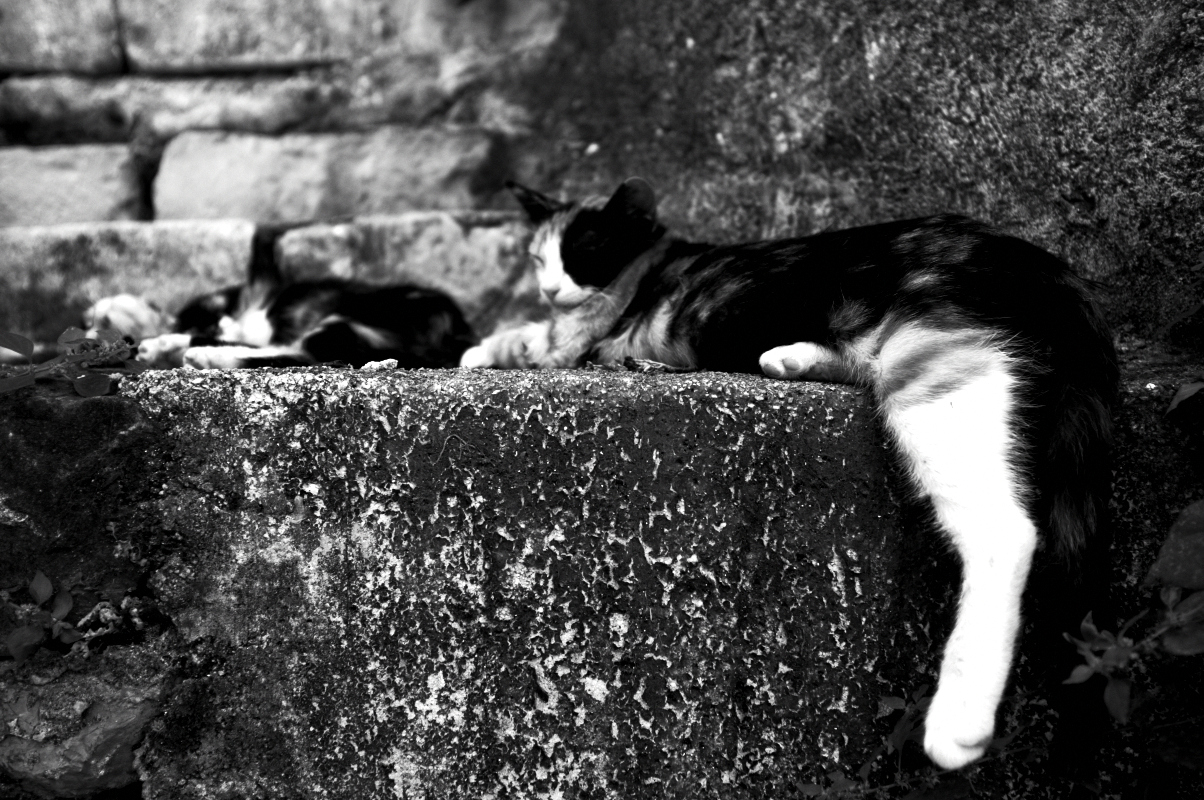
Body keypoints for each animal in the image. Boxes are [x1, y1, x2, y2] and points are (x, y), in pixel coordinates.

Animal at [135, 278, 476, 370]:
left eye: (207, 321)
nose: (217, 327)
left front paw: (165, 343)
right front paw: (160, 345)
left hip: (347, 317)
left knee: (306, 355)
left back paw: (207, 358)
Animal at [461, 178, 1118, 770]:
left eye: (584, 252)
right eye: (537, 257)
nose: (548, 287)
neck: (650, 264)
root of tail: (1046, 269)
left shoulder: (574, 342)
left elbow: (533, 338)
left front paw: (480, 346)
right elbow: (529, 332)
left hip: (935, 365)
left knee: (1004, 532)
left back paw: (959, 722)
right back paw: (791, 356)